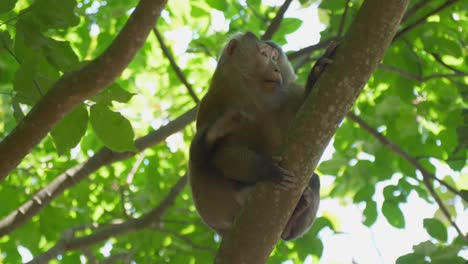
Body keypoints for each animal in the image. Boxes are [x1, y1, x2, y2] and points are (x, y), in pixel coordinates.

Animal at [188, 32, 330, 240]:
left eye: (275, 58)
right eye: (264, 54)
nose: (276, 68)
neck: (254, 95)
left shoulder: (288, 95)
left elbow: (310, 130)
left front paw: (317, 73)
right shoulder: (212, 103)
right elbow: (222, 154)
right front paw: (267, 169)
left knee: (313, 181)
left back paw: (293, 220)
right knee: (199, 158)